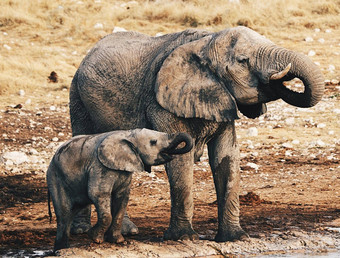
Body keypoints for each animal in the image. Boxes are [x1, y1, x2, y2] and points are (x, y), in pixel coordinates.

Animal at [46, 128, 193, 251]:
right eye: (153, 142)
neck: (129, 134)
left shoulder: (124, 170)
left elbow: (121, 198)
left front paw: (117, 240)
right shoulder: (100, 166)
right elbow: (98, 193)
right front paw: (95, 238)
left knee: (71, 212)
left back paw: (61, 249)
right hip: (55, 178)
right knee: (64, 213)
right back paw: (61, 249)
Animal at [68, 26, 324, 242]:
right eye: (243, 61)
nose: (279, 77)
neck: (206, 42)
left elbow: (226, 157)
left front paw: (236, 238)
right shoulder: (163, 104)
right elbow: (181, 160)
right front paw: (183, 238)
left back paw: (125, 231)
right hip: (77, 98)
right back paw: (83, 231)